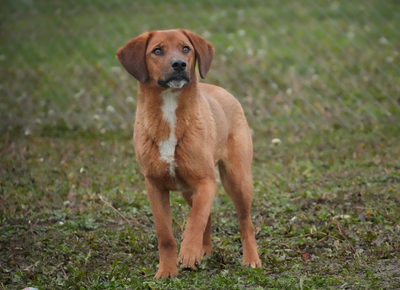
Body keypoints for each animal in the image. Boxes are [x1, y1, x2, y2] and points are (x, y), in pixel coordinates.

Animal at [117, 28, 260, 278]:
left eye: (186, 48)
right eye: (157, 51)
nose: (179, 64)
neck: (170, 111)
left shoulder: (205, 180)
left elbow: (195, 220)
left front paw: (189, 252)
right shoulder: (155, 186)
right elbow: (166, 234)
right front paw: (167, 271)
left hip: (237, 179)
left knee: (244, 221)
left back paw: (251, 259)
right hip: (189, 191)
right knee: (207, 214)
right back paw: (205, 249)